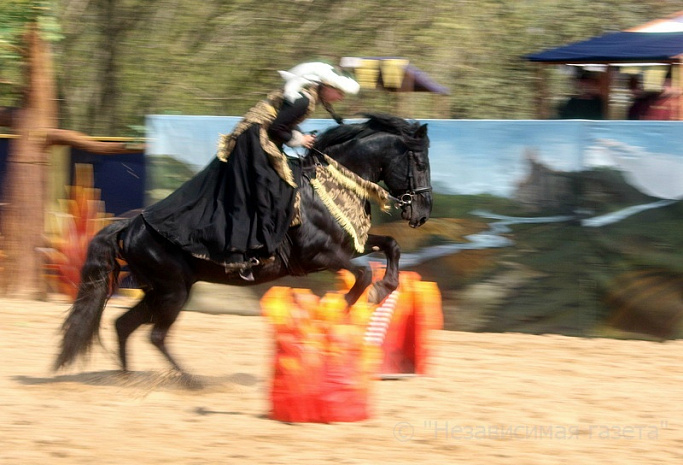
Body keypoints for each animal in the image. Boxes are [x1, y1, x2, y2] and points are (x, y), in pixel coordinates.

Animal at [57, 113, 432, 374]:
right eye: (419, 162)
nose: (423, 212)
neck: (325, 189)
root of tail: (129, 226)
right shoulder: (320, 255)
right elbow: (363, 274)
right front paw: (350, 306)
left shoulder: (350, 244)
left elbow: (391, 246)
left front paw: (384, 289)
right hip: (172, 291)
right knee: (155, 336)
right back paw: (190, 382)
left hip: (157, 291)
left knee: (124, 326)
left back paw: (128, 378)